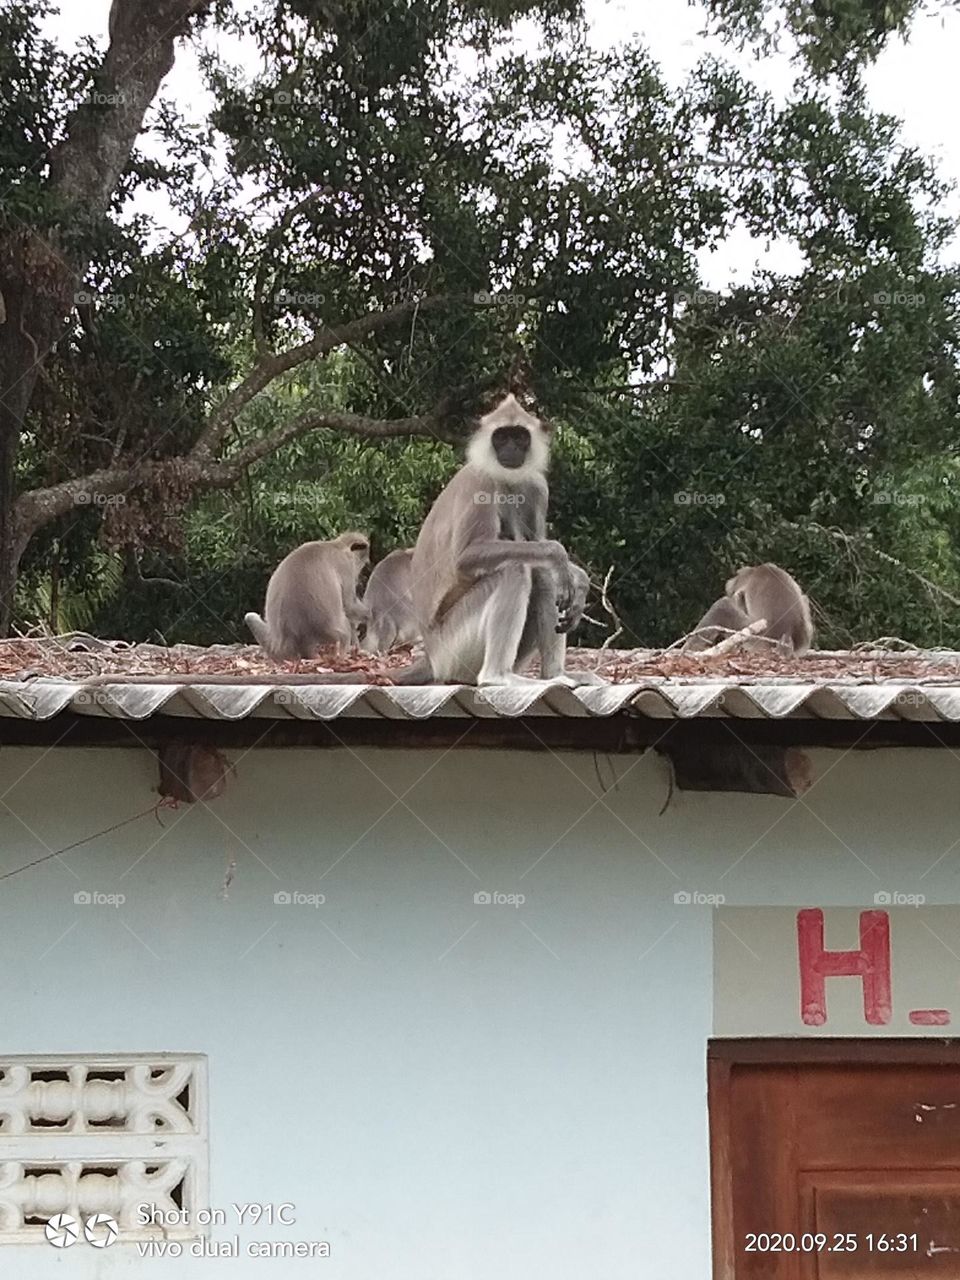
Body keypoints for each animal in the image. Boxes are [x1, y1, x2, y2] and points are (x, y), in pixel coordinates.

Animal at [244, 532, 370, 661]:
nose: (365, 565)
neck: (337, 546)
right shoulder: (345, 565)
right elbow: (349, 605)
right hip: (330, 635)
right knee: (345, 627)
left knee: (249, 616)